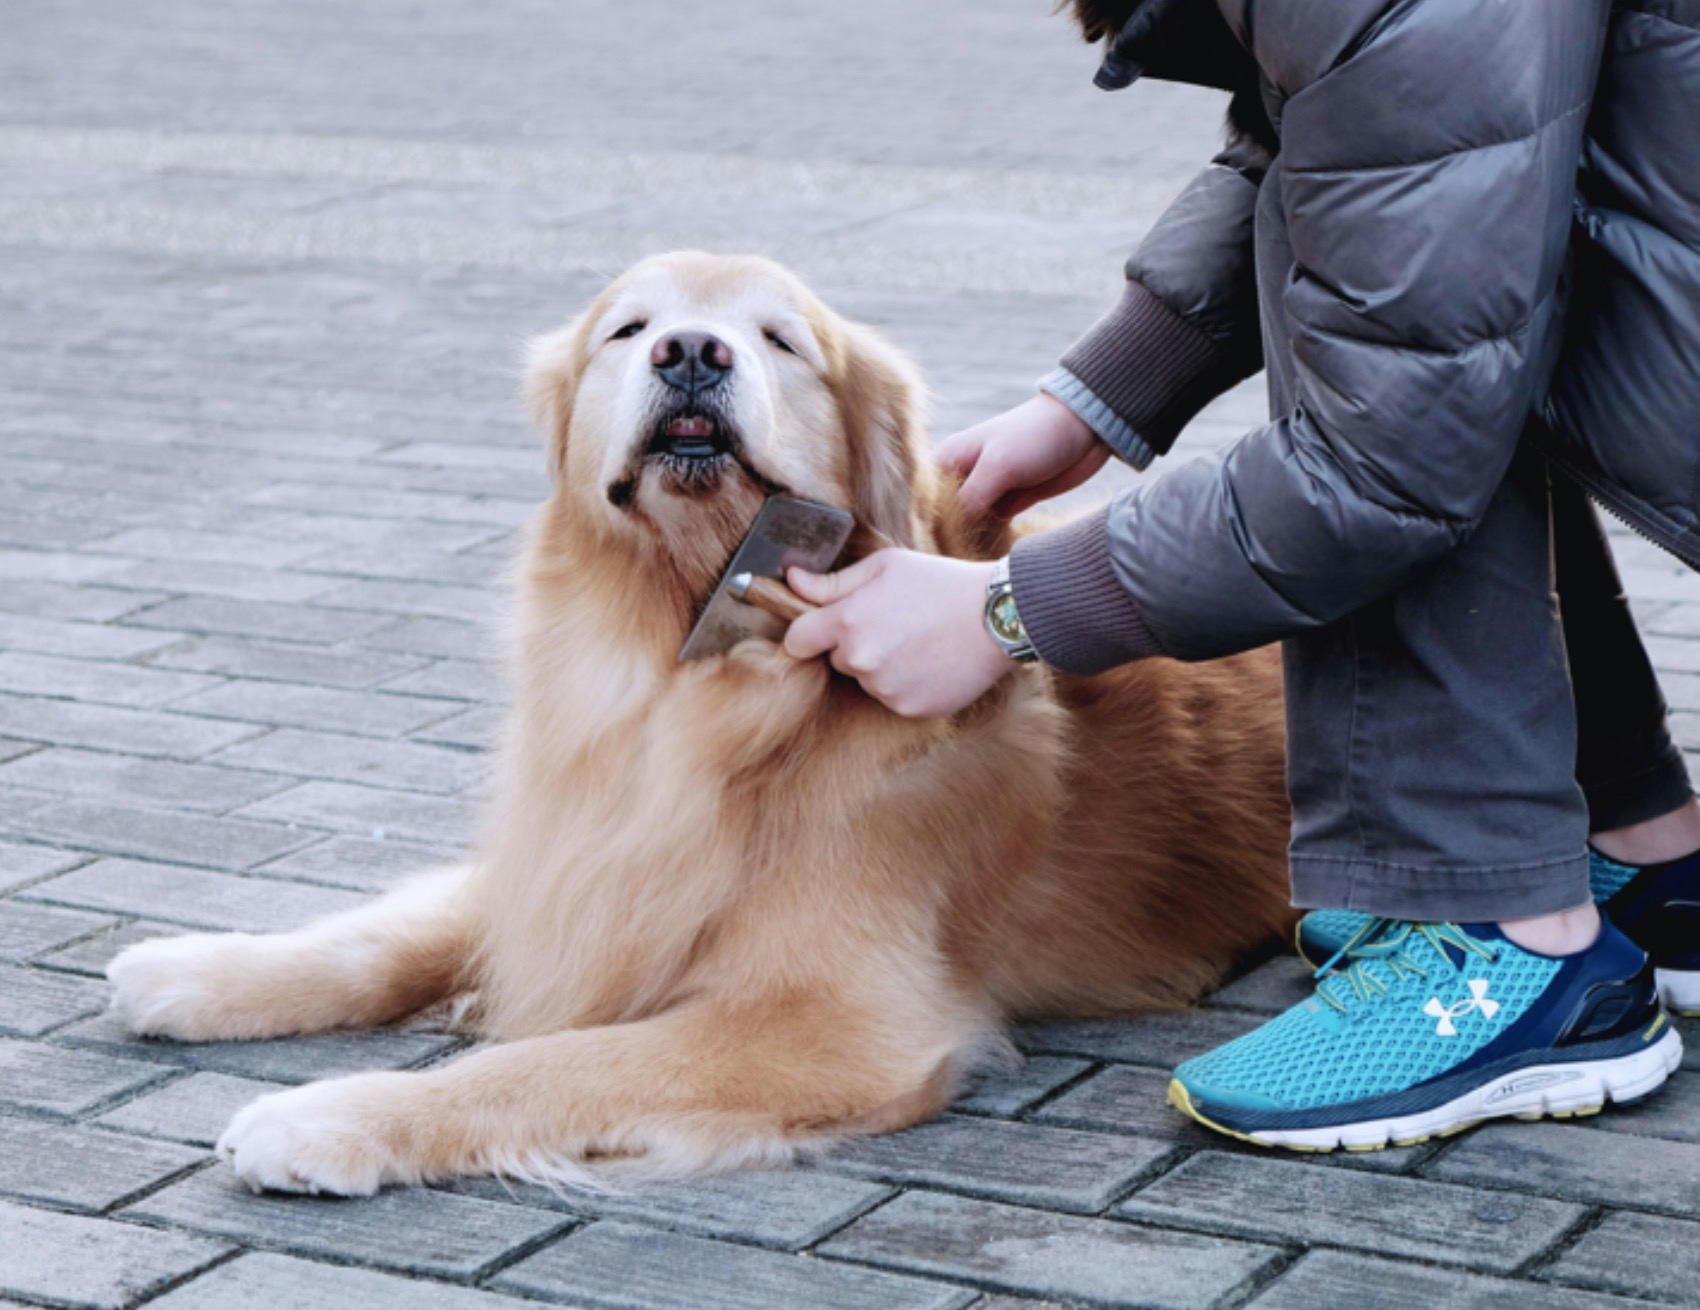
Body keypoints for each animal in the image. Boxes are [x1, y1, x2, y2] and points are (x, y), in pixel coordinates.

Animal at [106, 251, 1285, 1196]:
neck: (700, 696)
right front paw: (206, 970)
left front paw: (334, 1115)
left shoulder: (831, 1019)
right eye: (628, 328)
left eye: (781, 339)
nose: (689, 353)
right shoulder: (584, 854)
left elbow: (546, 1062)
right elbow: (383, 938)